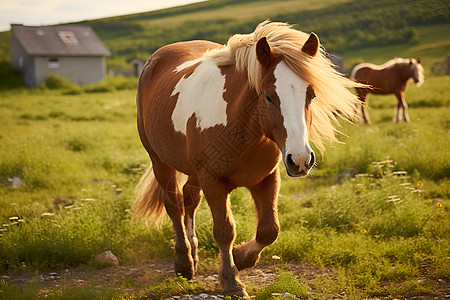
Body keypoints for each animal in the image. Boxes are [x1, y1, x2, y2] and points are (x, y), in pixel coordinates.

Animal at [134, 21, 366, 298]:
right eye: (269, 96)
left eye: (311, 94)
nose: (300, 159)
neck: (241, 129)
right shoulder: (213, 182)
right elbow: (224, 230)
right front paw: (232, 281)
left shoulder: (266, 178)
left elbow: (269, 229)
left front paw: (241, 257)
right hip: (161, 163)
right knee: (174, 205)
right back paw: (184, 263)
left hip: (193, 172)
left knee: (189, 200)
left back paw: (194, 254)